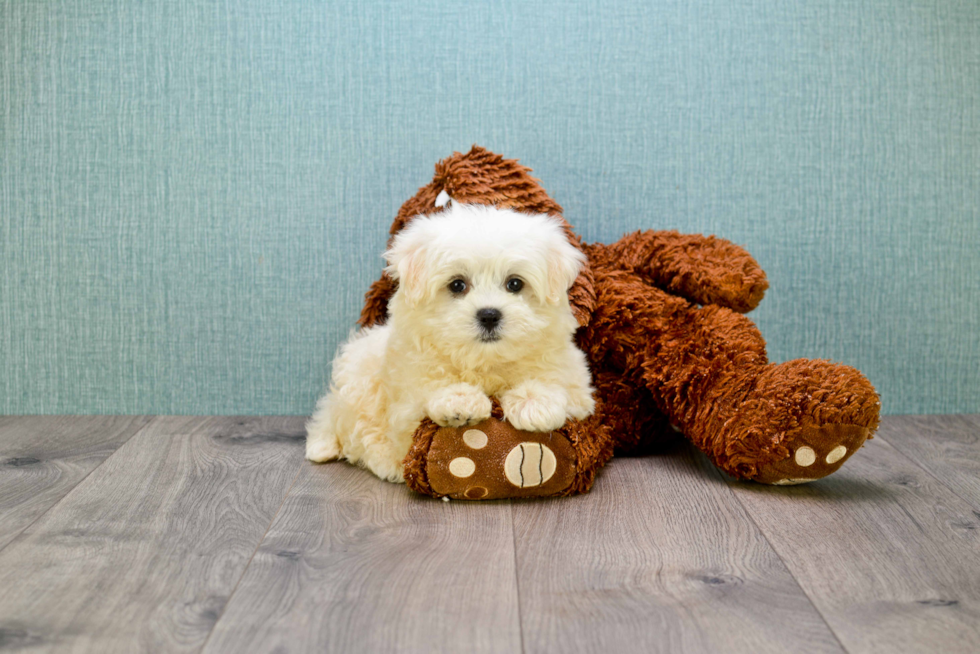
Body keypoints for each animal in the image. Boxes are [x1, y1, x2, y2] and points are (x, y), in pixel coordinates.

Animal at [306, 202, 596, 484]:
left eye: (515, 284)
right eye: (457, 285)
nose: (489, 315)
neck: (484, 362)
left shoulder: (577, 383)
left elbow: (557, 384)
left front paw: (534, 403)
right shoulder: (407, 393)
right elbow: (425, 395)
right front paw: (460, 400)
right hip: (358, 382)